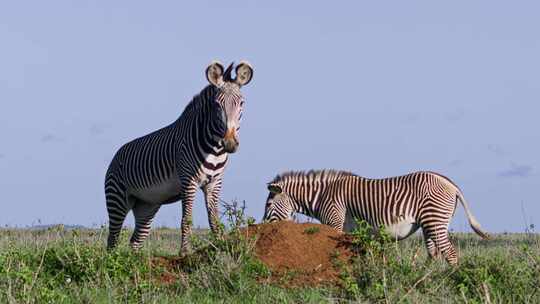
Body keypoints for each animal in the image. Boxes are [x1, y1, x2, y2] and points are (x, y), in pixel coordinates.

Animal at [105, 60, 253, 253]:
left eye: (241, 103)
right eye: (216, 105)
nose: (229, 143)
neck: (214, 149)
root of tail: (117, 155)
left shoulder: (215, 183)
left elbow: (214, 221)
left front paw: (221, 246)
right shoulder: (189, 181)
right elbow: (186, 220)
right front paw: (185, 251)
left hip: (147, 205)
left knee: (135, 241)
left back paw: (133, 259)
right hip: (117, 199)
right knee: (112, 239)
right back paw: (113, 258)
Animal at [264, 170, 492, 264]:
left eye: (268, 205)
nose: (264, 228)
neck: (323, 195)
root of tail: (450, 183)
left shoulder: (334, 221)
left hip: (434, 220)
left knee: (450, 253)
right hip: (430, 224)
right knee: (434, 253)